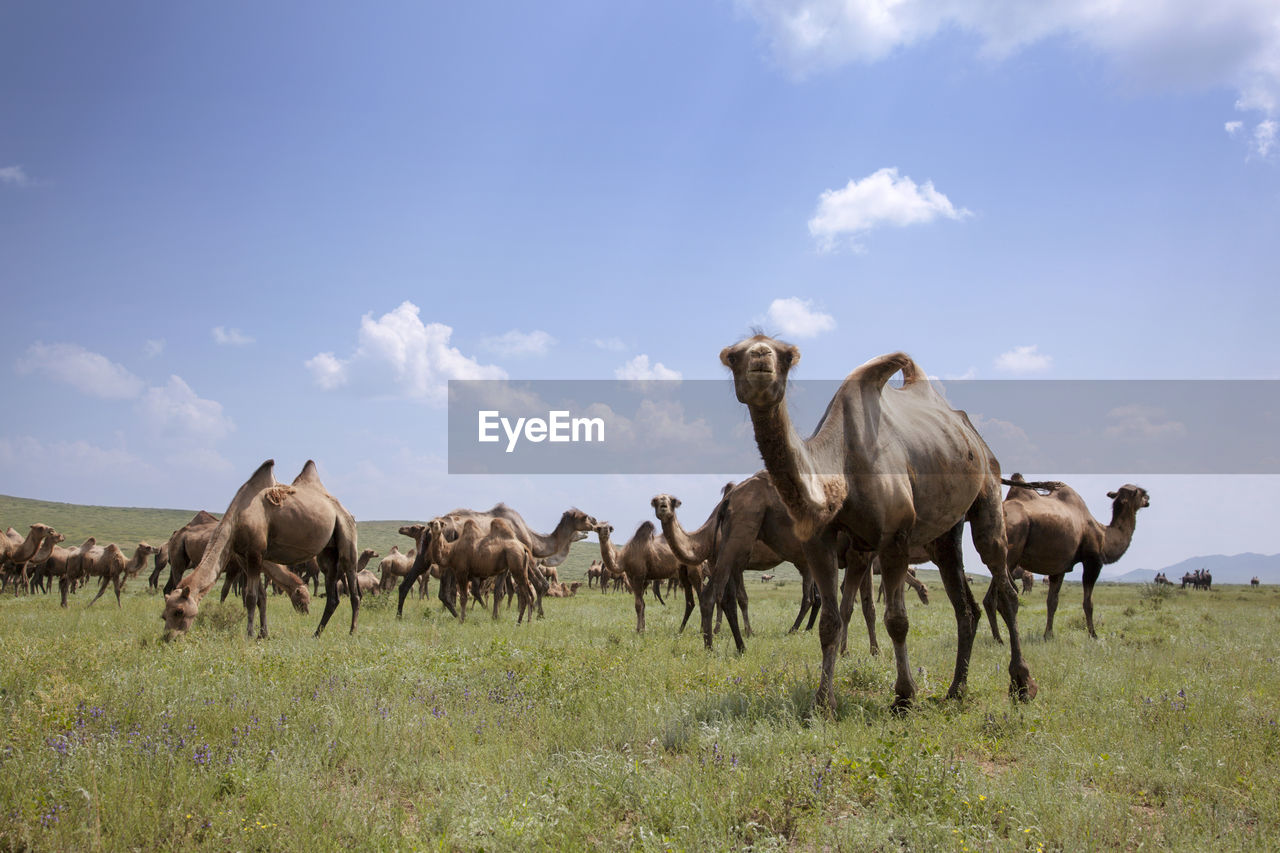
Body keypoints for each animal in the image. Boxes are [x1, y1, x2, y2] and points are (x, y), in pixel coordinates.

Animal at [163, 458, 360, 637]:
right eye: (164, 615)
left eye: (179, 611)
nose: (168, 638)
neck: (237, 519)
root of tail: (344, 510)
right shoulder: (243, 557)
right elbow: (260, 597)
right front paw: (263, 634)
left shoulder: (255, 553)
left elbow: (251, 597)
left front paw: (250, 635)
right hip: (328, 552)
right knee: (332, 595)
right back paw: (316, 634)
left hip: (346, 533)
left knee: (353, 586)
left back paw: (352, 632)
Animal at [721, 335, 1029, 706]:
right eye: (733, 355)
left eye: (786, 354)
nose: (760, 356)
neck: (841, 466)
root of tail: (973, 435)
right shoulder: (822, 543)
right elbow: (830, 620)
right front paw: (822, 702)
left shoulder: (895, 538)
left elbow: (896, 620)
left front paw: (904, 697)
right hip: (944, 533)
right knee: (965, 605)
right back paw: (956, 689)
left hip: (988, 492)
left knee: (1005, 584)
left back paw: (1022, 683)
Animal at [977, 471, 1152, 637]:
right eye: (1142, 492)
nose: (1148, 499)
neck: (1104, 535)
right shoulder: (1092, 561)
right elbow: (1088, 603)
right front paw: (1093, 635)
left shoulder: (1059, 568)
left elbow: (1052, 602)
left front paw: (1048, 635)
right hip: (1010, 554)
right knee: (996, 598)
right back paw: (1001, 639)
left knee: (991, 599)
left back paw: (999, 638)